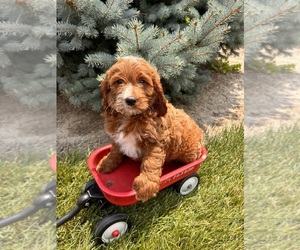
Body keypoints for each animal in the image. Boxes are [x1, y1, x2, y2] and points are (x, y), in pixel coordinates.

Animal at [96, 56, 204, 201]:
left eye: (142, 81)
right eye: (119, 81)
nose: (130, 100)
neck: (131, 117)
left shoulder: (156, 141)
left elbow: (151, 162)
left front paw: (145, 185)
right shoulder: (117, 138)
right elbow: (115, 151)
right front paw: (106, 163)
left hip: (189, 153)